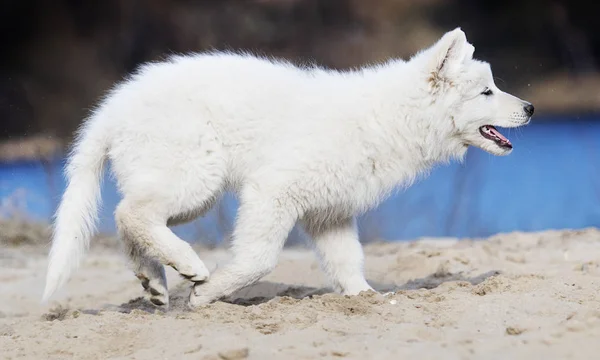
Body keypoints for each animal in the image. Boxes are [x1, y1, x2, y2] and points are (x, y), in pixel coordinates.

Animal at [42, 29, 536, 308]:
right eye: (486, 92)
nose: (531, 108)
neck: (389, 116)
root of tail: (111, 109)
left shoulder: (330, 212)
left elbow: (347, 261)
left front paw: (365, 298)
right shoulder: (273, 192)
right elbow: (257, 259)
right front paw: (207, 294)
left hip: (177, 182)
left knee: (129, 217)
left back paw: (155, 282)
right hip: (196, 178)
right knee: (132, 212)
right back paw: (186, 265)